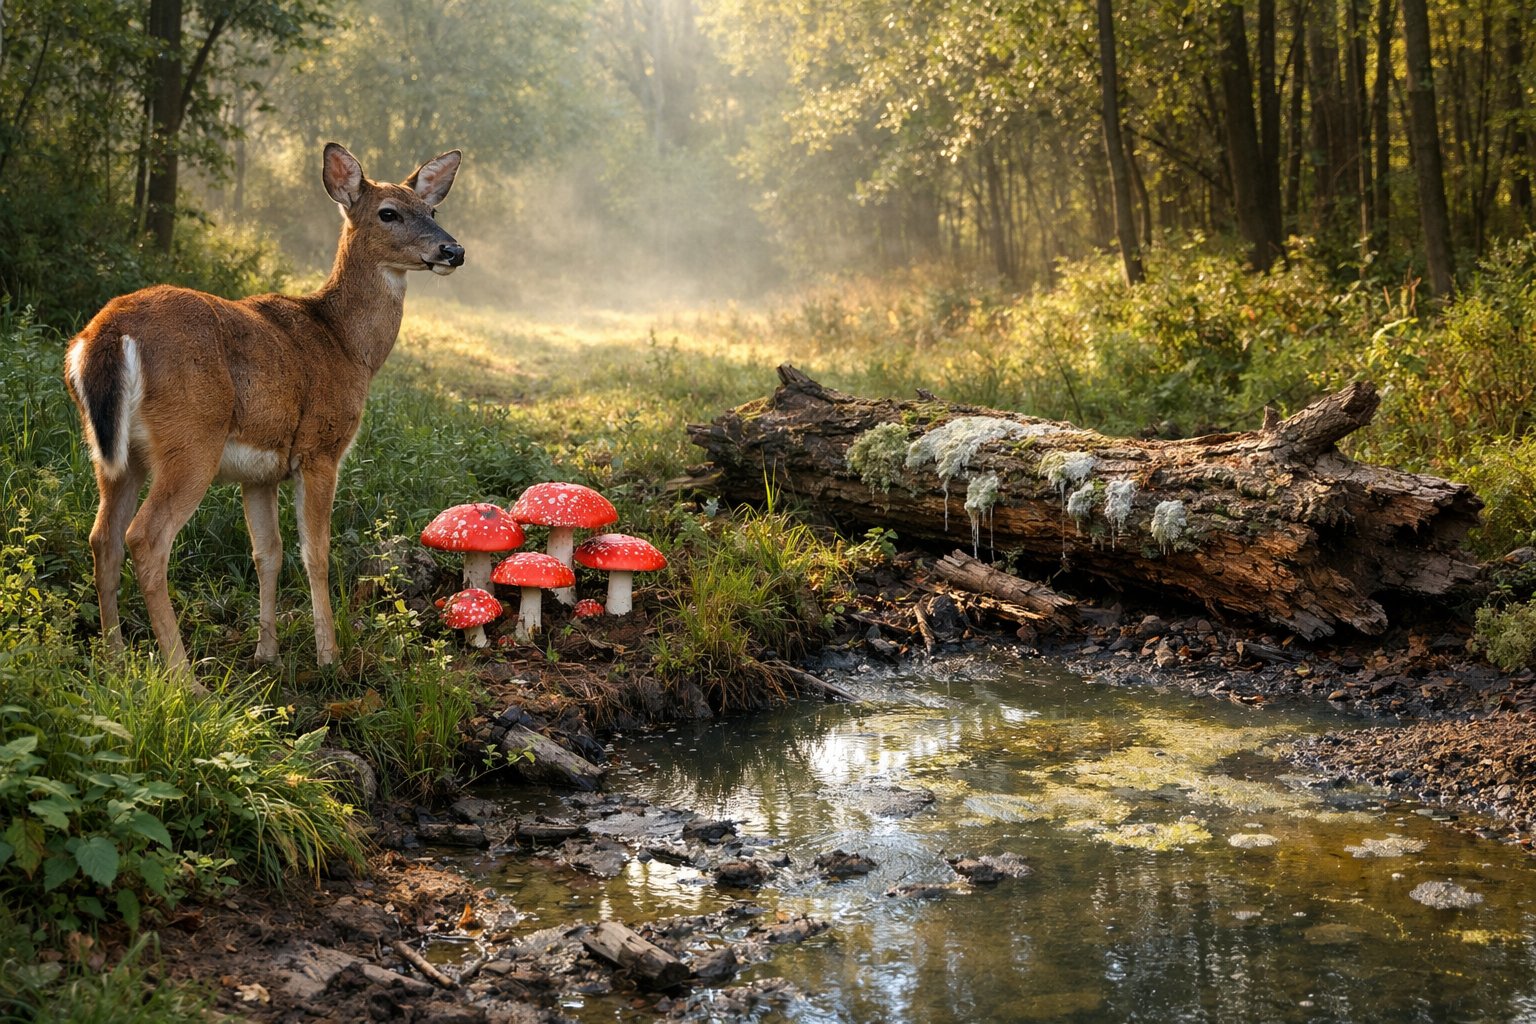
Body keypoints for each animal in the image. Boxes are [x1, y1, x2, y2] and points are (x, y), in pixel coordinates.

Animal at [64, 143, 464, 681]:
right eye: (389, 213)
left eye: (432, 211)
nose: (453, 251)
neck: (347, 345)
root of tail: (104, 333)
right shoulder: (320, 448)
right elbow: (315, 553)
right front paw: (328, 657)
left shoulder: (260, 472)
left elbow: (267, 553)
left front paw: (266, 654)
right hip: (192, 438)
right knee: (145, 538)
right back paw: (185, 679)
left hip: (112, 453)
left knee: (102, 538)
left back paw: (114, 662)